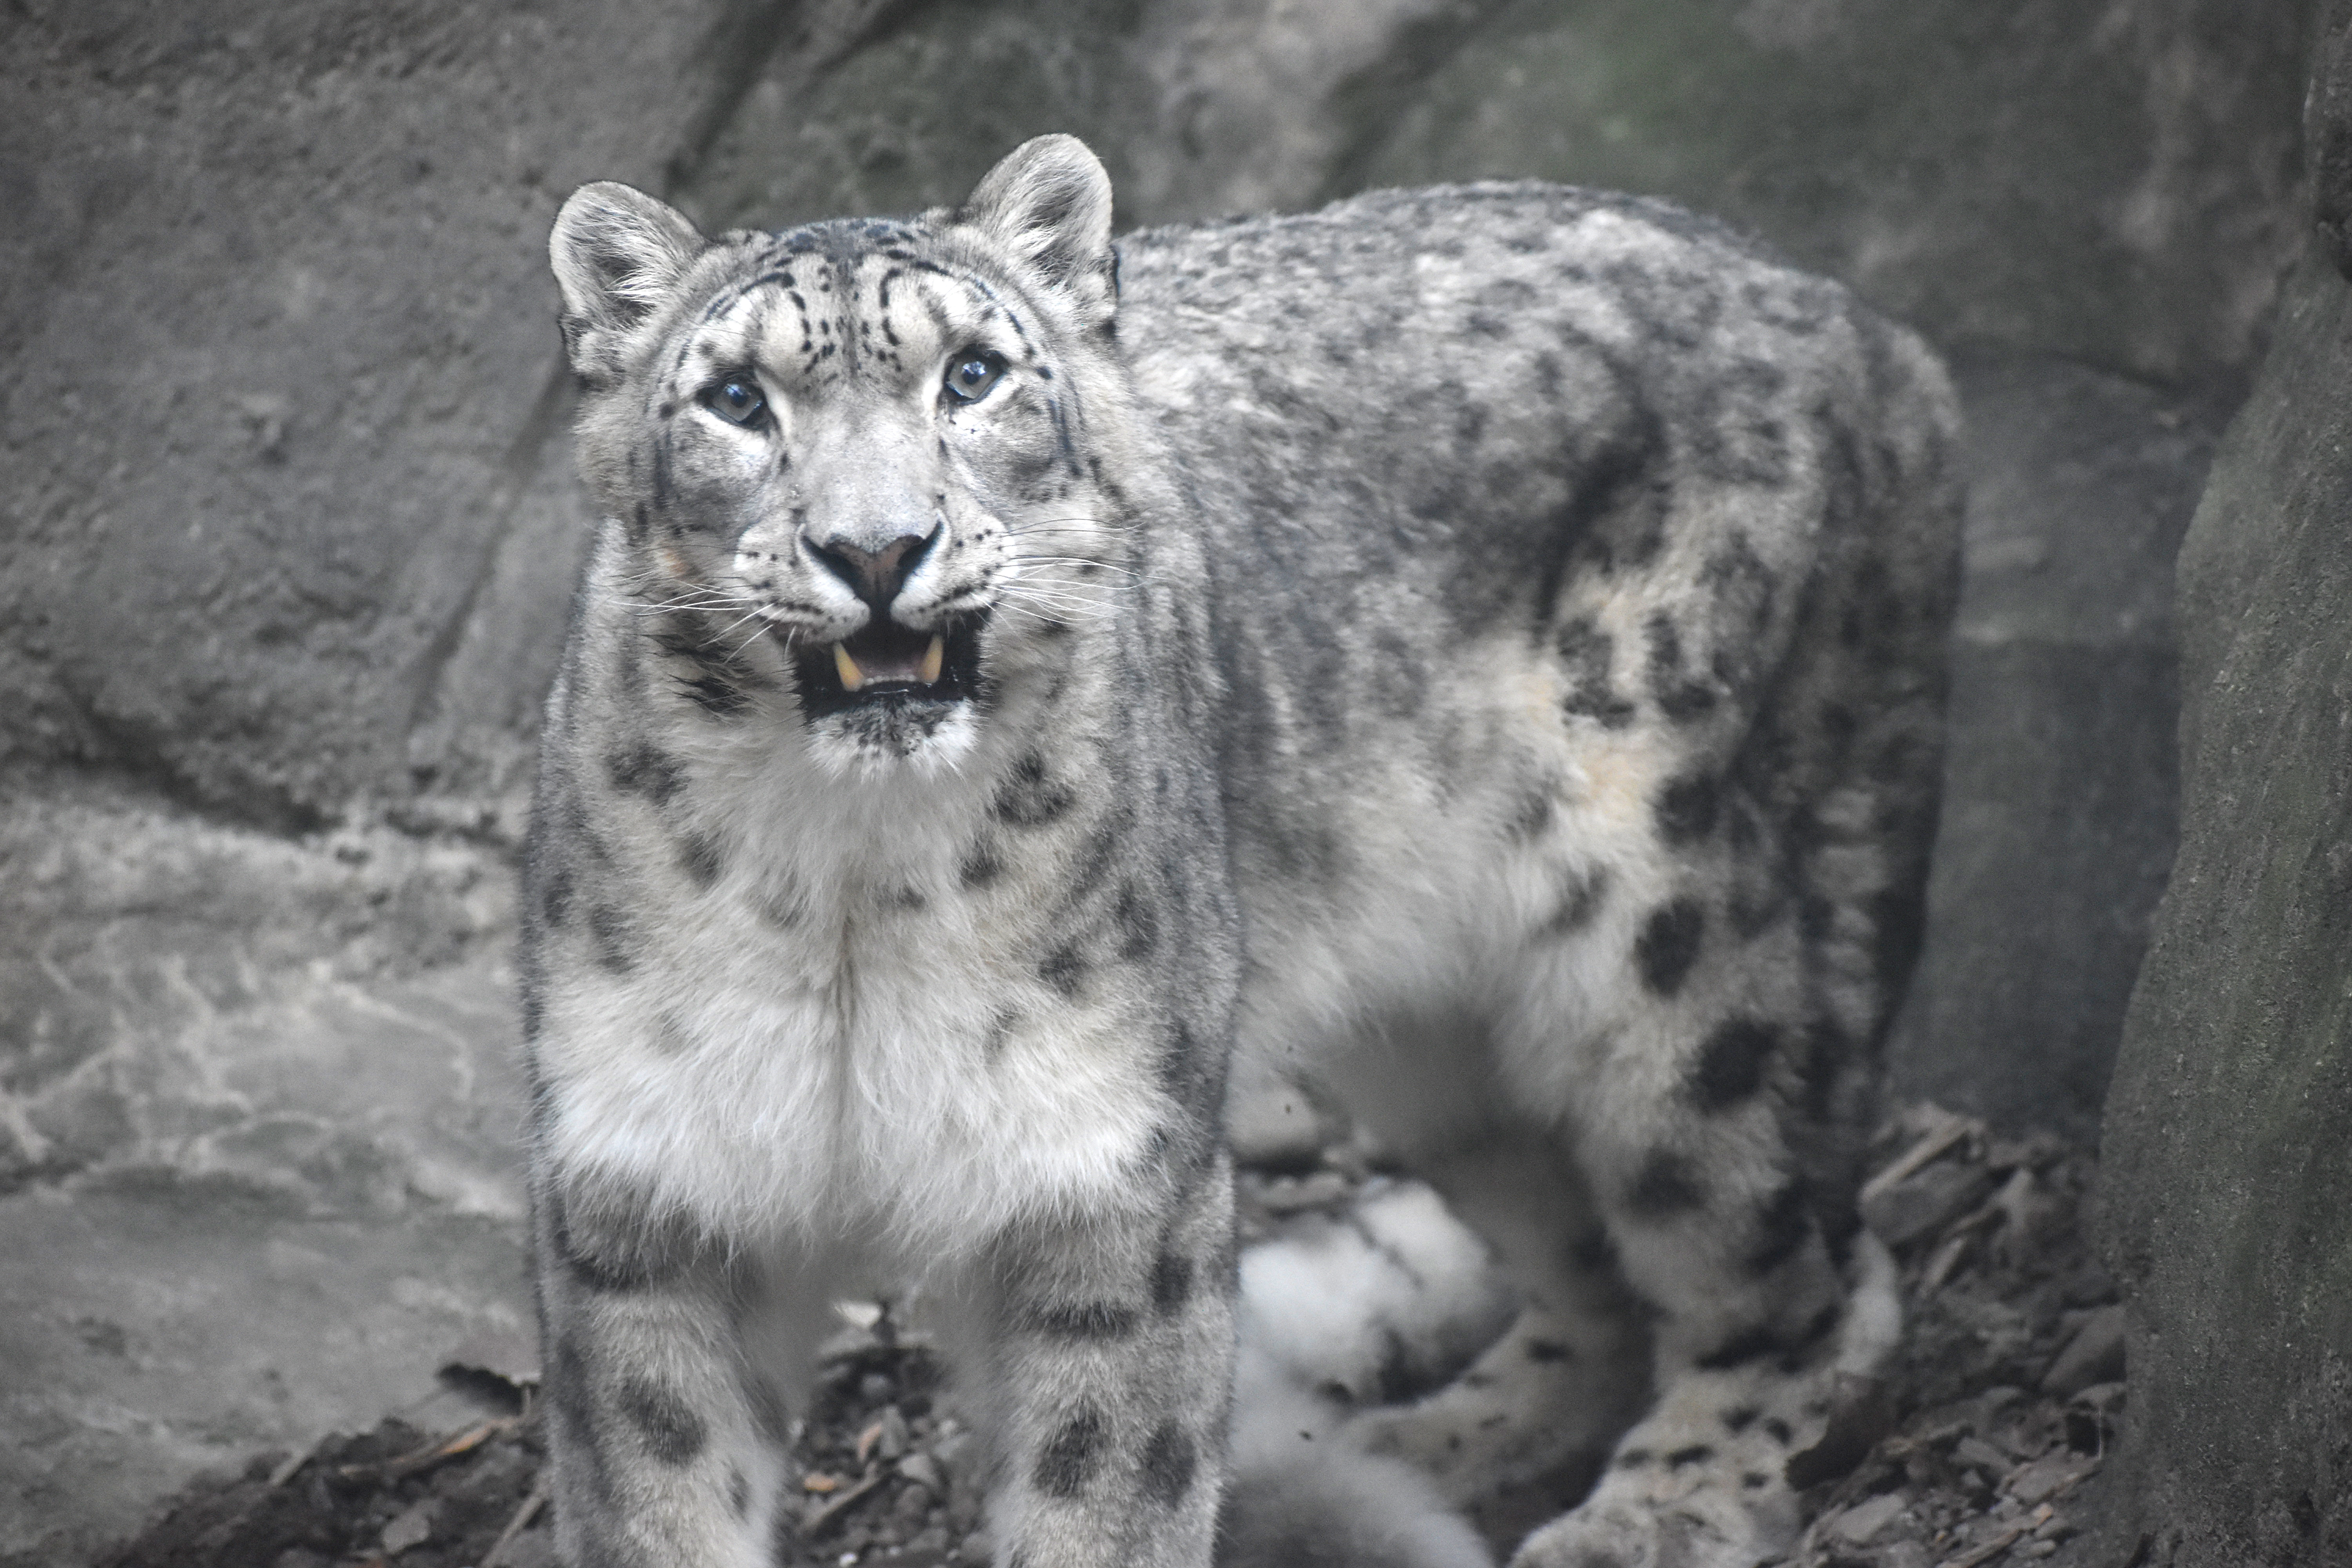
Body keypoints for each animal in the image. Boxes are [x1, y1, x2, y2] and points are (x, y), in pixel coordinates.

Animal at [521, 133, 1961, 1568]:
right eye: (734, 398)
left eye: (971, 374)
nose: (875, 549)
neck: (850, 886)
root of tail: (1864, 327)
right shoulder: (647, 1191)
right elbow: (658, 1483)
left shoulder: (1106, 1176)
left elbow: (1105, 1491)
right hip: (1443, 1049)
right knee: (1595, 1278)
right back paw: (1408, 1451)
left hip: (1669, 936)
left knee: (1799, 1268)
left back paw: (1652, 1507)